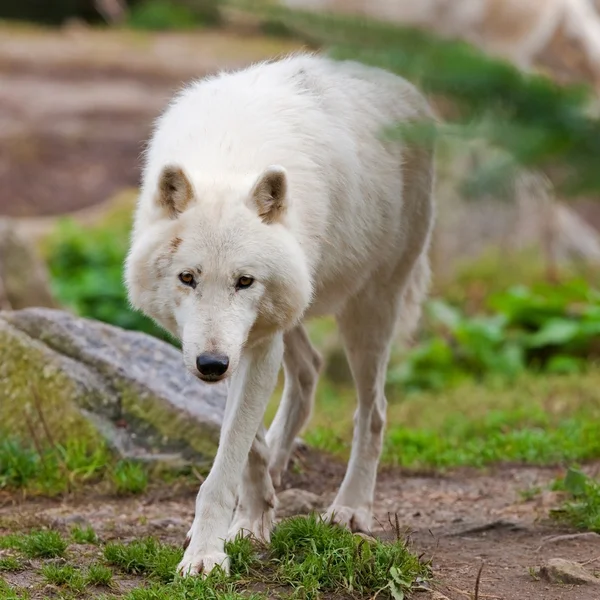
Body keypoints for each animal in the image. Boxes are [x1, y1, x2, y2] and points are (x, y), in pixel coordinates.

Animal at [125, 54, 436, 580]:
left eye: (244, 281)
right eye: (188, 278)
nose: (212, 366)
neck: (226, 157)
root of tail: (409, 92)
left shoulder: (252, 346)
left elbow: (227, 461)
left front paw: (207, 553)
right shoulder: (229, 345)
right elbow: (244, 442)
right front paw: (252, 514)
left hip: (368, 308)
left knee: (373, 411)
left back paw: (351, 509)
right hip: (288, 313)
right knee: (309, 370)